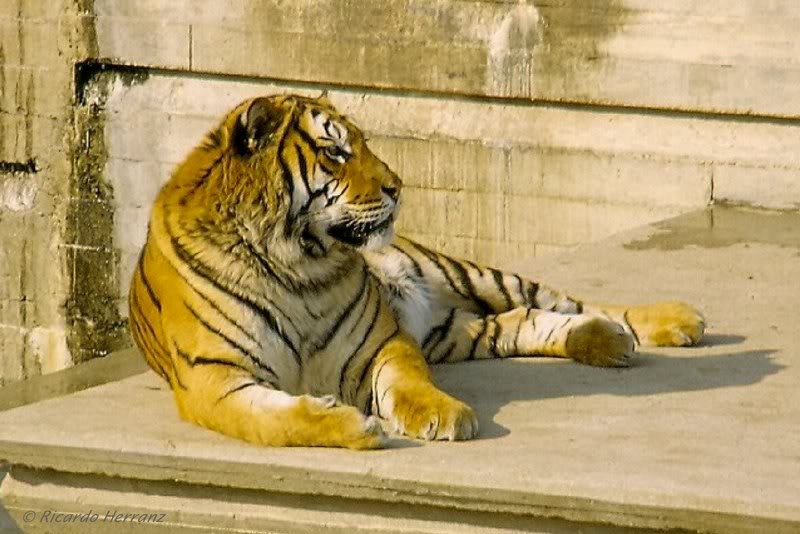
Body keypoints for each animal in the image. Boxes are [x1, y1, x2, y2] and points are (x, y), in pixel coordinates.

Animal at [128, 93, 706, 449]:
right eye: (336, 152)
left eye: (362, 143)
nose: (398, 185)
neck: (297, 267)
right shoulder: (214, 379)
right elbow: (278, 421)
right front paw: (351, 424)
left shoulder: (384, 342)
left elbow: (409, 384)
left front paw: (445, 415)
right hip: (454, 333)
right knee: (520, 323)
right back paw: (603, 341)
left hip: (465, 275)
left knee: (572, 303)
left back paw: (671, 322)